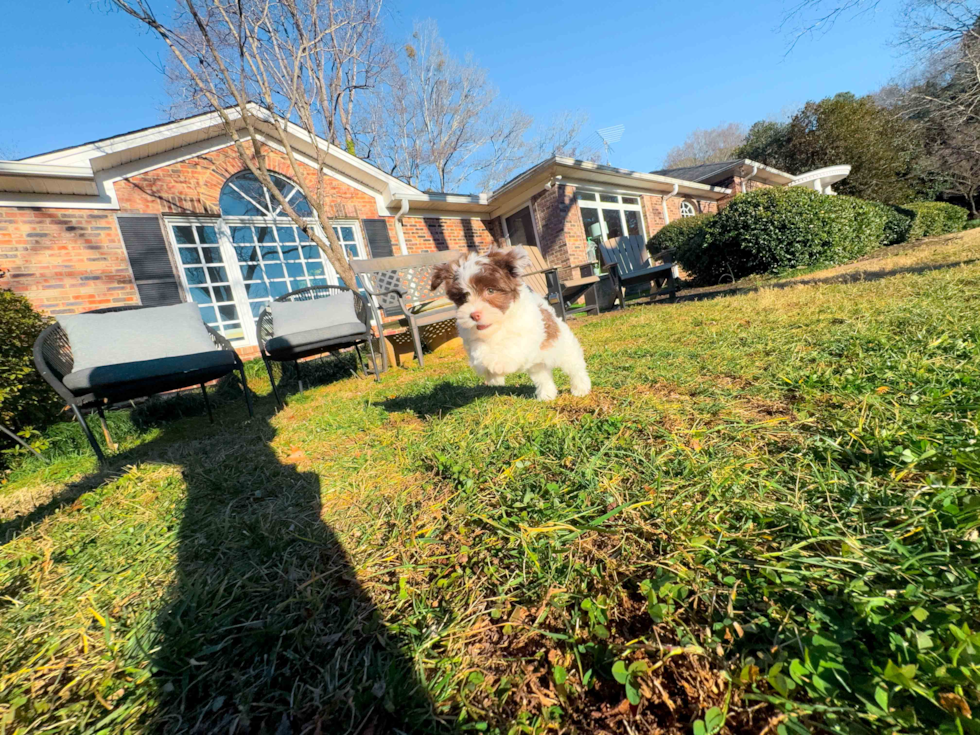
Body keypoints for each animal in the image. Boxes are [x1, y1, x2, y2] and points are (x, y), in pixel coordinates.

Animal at [434, 246, 588, 402]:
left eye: (490, 290)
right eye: (463, 297)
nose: (474, 315)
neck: (496, 326)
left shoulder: (526, 332)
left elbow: (512, 347)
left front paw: (498, 365)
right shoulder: (472, 338)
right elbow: (480, 353)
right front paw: (493, 375)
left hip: (564, 349)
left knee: (575, 367)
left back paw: (581, 388)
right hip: (537, 365)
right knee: (543, 377)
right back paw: (546, 394)